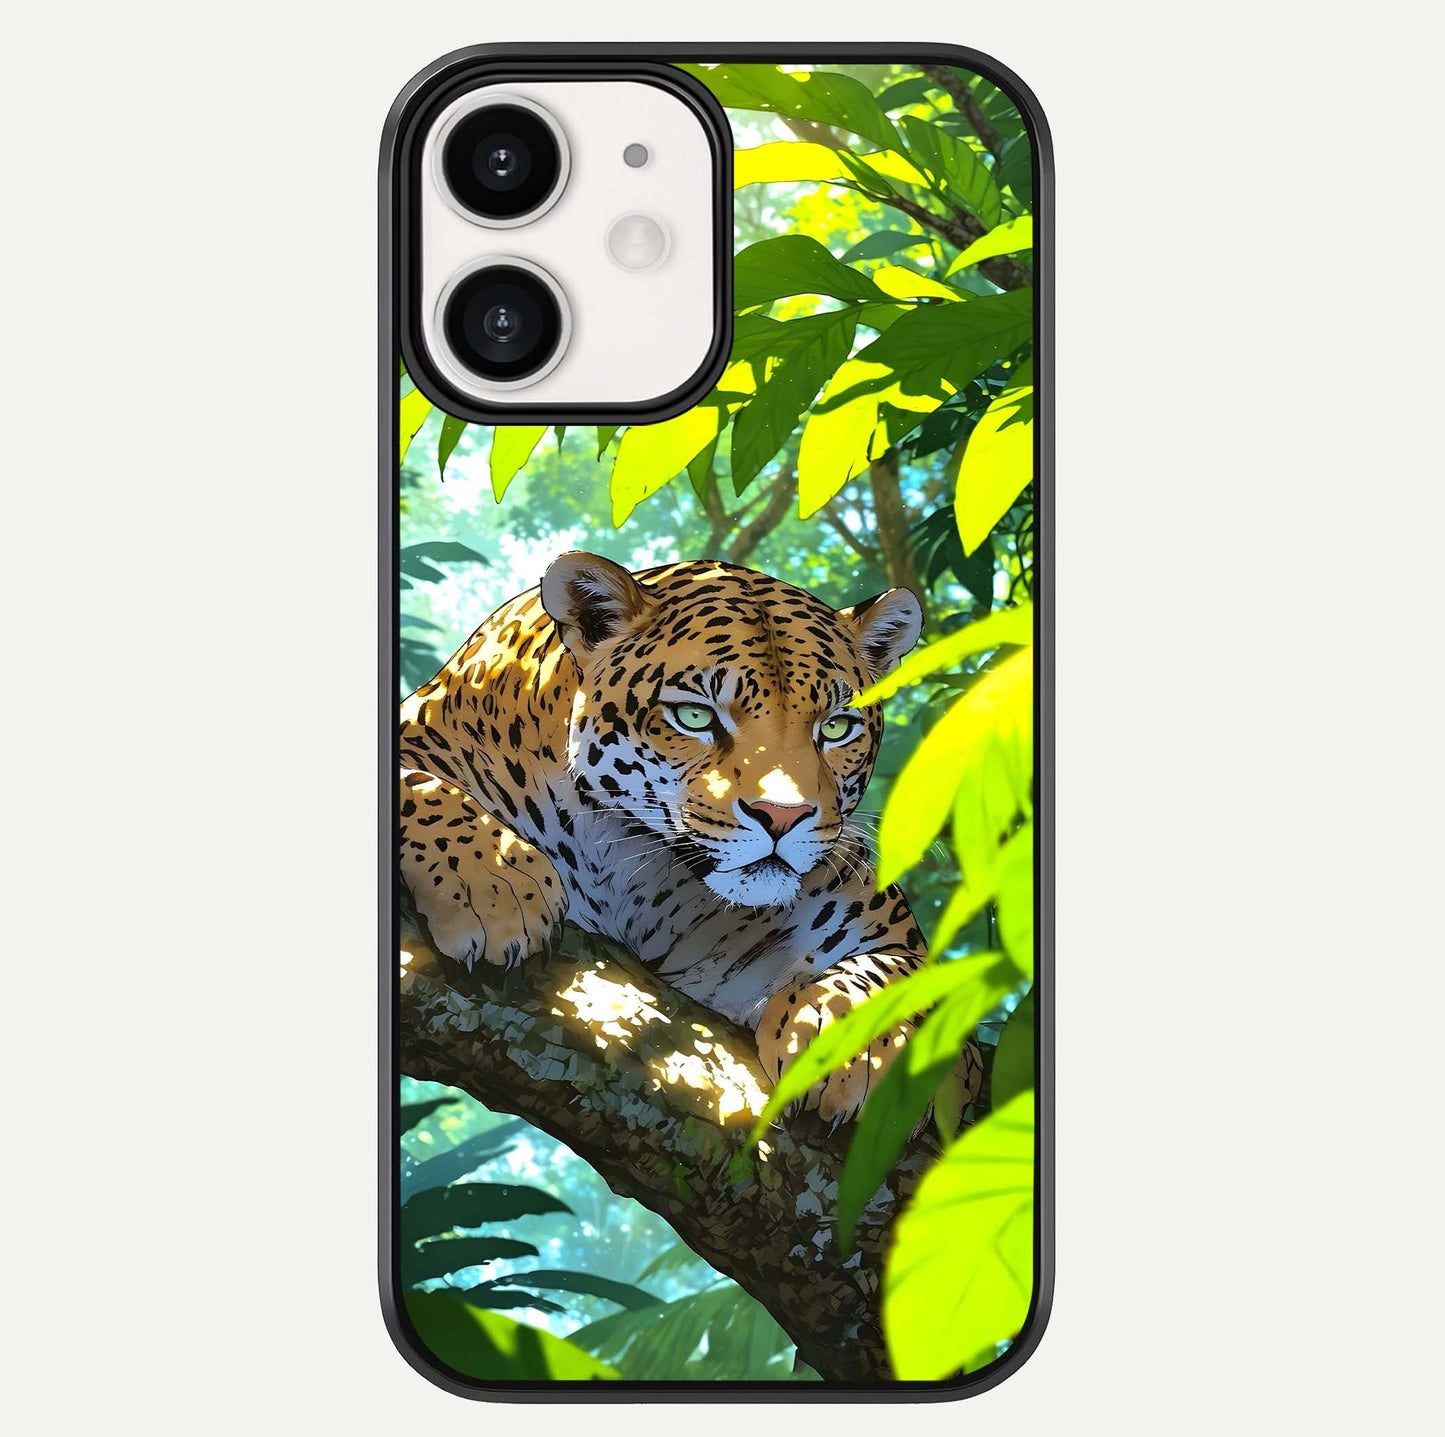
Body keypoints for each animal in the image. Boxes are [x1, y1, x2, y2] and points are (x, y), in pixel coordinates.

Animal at [398, 550, 982, 1124]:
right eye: (695, 716)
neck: (632, 870)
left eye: (837, 727)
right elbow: (417, 785)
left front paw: (850, 1041)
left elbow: (912, 975)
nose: (782, 816)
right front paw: (495, 887)